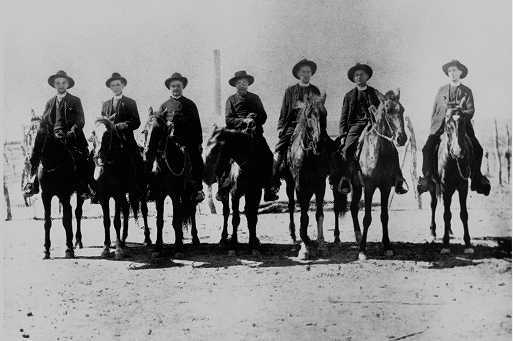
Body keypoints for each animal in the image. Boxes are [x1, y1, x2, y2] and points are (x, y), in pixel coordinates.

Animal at [143, 110, 197, 256]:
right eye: (144, 131)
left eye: (158, 131)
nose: (147, 155)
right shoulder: (159, 195)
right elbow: (159, 221)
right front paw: (158, 246)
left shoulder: (175, 194)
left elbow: (176, 220)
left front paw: (178, 247)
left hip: (187, 192)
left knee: (192, 210)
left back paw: (195, 238)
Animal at [203, 124, 266, 252]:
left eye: (215, 149)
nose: (205, 177)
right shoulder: (234, 194)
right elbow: (235, 219)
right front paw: (233, 241)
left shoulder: (256, 193)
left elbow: (253, 217)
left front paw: (253, 242)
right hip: (225, 193)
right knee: (226, 213)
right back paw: (223, 240)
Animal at [280, 93, 332, 258]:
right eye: (309, 115)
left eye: (324, 114)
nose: (319, 141)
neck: (310, 156)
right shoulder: (300, 185)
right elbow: (303, 216)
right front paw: (305, 248)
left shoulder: (320, 184)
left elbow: (319, 214)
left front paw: (321, 245)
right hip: (290, 185)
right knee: (291, 207)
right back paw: (293, 237)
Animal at [344, 89, 408, 258]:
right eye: (388, 110)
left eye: (402, 110)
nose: (401, 138)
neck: (380, 152)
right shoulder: (369, 187)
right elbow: (367, 218)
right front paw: (362, 251)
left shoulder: (385, 187)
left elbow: (384, 216)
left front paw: (387, 246)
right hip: (355, 185)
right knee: (353, 208)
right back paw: (359, 240)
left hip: (357, 187)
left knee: (353, 208)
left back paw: (358, 236)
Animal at [428, 105, 472, 254]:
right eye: (448, 125)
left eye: (463, 123)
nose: (458, 151)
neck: (453, 161)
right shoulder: (445, 187)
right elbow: (446, 214)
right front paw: (446, 244)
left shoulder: (463, 186)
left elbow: (464, 214)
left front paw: (468, 243)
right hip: (434, 186)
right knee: (434, 205)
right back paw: (433, 233)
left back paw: (450, 230)